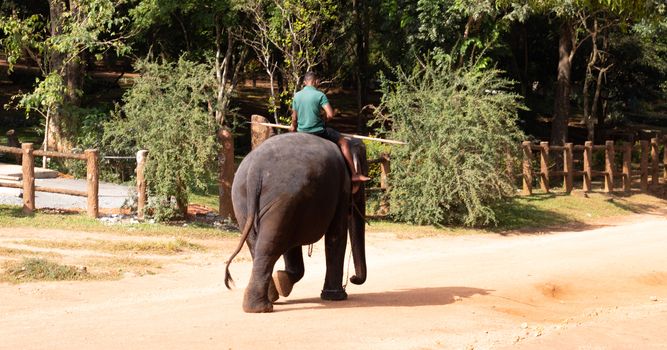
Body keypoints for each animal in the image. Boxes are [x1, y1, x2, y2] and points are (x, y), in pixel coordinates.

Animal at [227, 131, 368, 312]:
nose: (352, 278)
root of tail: (254, 171)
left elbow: (292, 246)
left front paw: (282, 282)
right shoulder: (342, 189)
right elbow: (336, 235)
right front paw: (336, 297)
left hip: (249, 201)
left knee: (260, 245)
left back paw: (266, 301)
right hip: (284, 199)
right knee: (270, 246)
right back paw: (262, 307)